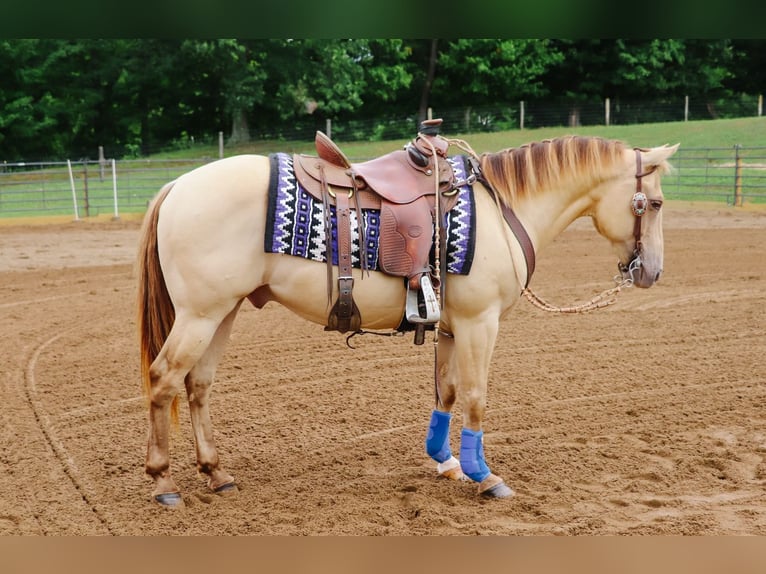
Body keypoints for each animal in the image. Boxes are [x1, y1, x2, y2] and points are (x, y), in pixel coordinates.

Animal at [136, 133, 678, 506]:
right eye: (654, 202)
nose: (652, 271)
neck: (501, 210)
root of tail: (178, 186)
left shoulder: (452, 326)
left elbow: (447, 393)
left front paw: (447, 462)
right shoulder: (481, 323)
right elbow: (476, 396)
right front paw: (486, 476)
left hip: (222, 312)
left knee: (198, 385)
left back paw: (216, 473)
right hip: (200, 315)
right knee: (164, 380)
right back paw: (163, 481)